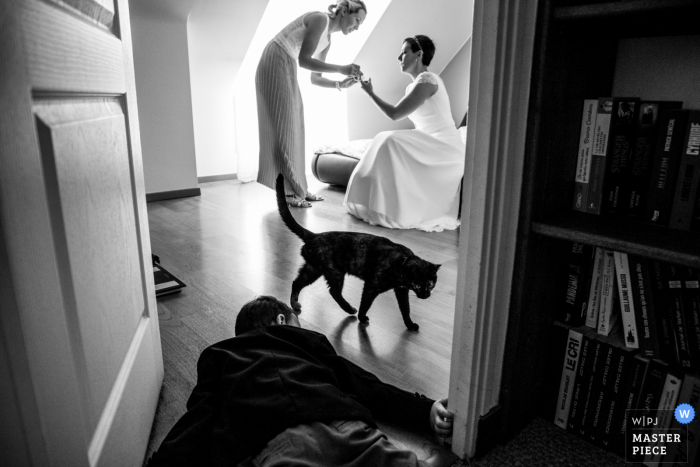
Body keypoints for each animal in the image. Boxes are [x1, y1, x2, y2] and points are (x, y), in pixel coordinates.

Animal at [276, 174, 440, 330]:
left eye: (431, 284)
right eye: (417, 285)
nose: (425, 295)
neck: (401, 262)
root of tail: (314, 235)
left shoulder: (401, 291)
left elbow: (405, 309)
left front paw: (410, 325)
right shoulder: (371, 286)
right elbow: (366, 303)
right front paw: (362, 318)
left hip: (313, 269)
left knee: (297, 282)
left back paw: (295, 304)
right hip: (334, 272)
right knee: (334, 292)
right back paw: (350, 309)